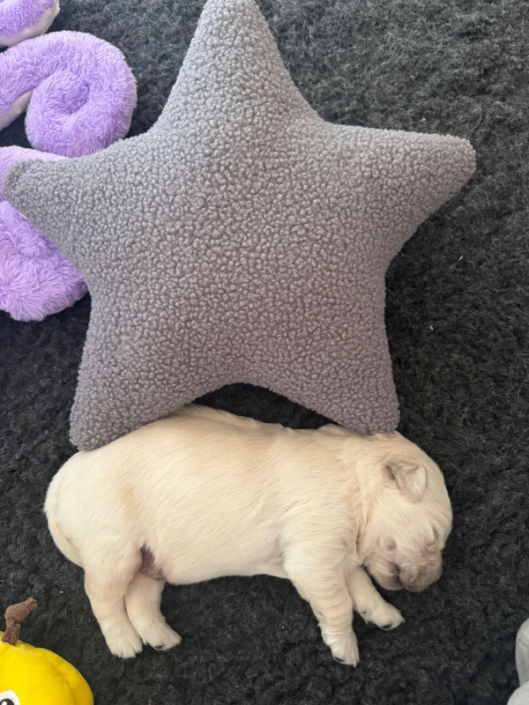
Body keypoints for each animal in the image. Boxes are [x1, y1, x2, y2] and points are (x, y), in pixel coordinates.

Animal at [45, 405, 452, 665]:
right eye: (434, 535)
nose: (434, 583)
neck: (355, 483)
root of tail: (60, 482)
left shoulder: (338, 552)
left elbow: (361, 584)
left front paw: (382, 612)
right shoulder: (313, 557)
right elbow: (337, 603)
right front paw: (345, 648)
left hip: (150, 559)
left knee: (139, 598)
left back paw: (160, 637)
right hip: (113, 548)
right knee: (102, 597)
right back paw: (124, 642)